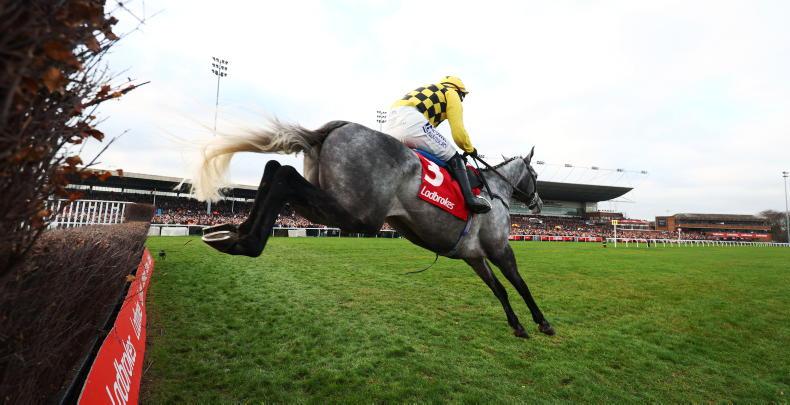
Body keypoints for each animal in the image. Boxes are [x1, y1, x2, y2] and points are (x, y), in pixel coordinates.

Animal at [193, 120, 555, 338]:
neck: (494, 192)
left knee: (276, 169)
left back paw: (234, 234)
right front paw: (542, 321)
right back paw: (247, 241)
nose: (538, 203)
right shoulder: (499, 248)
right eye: (535, 175)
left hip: (327, 204)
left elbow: (500, 290)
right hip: (358, 215)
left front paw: (517, 325)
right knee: (284, 175)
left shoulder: (474, 256)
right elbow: (520, 284)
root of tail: (337, 127)